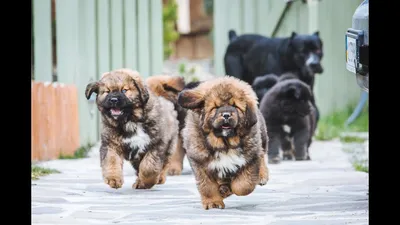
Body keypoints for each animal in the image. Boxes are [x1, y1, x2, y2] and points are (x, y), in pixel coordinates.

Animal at [178, 76, 268, 210]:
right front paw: (213, 202)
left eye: (235, 106)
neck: (225, 144)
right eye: (215, 107)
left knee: (262, 155)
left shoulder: (251, 157)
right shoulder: (199, 161)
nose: (226, 115)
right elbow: (207, 186)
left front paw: (229, 189)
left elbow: (243, 185)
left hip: (261, 139)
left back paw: (262, 176)